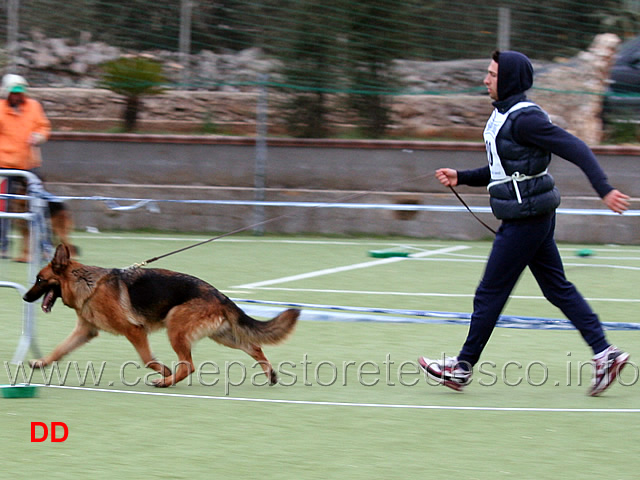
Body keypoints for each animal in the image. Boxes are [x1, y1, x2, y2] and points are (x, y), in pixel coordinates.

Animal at [21, 244, 298, 386]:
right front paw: (41, 362)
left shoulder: (134, 331)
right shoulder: (84, 331)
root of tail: (219, 295)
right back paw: (270, 375)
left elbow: (147, 359)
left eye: (39, 280)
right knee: (255, 347)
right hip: (223, 335)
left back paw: (167, 381)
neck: (88, 283)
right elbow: (59, 349)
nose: (24, 298)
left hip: (175, 325)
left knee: (188, 365)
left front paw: (163, 371)